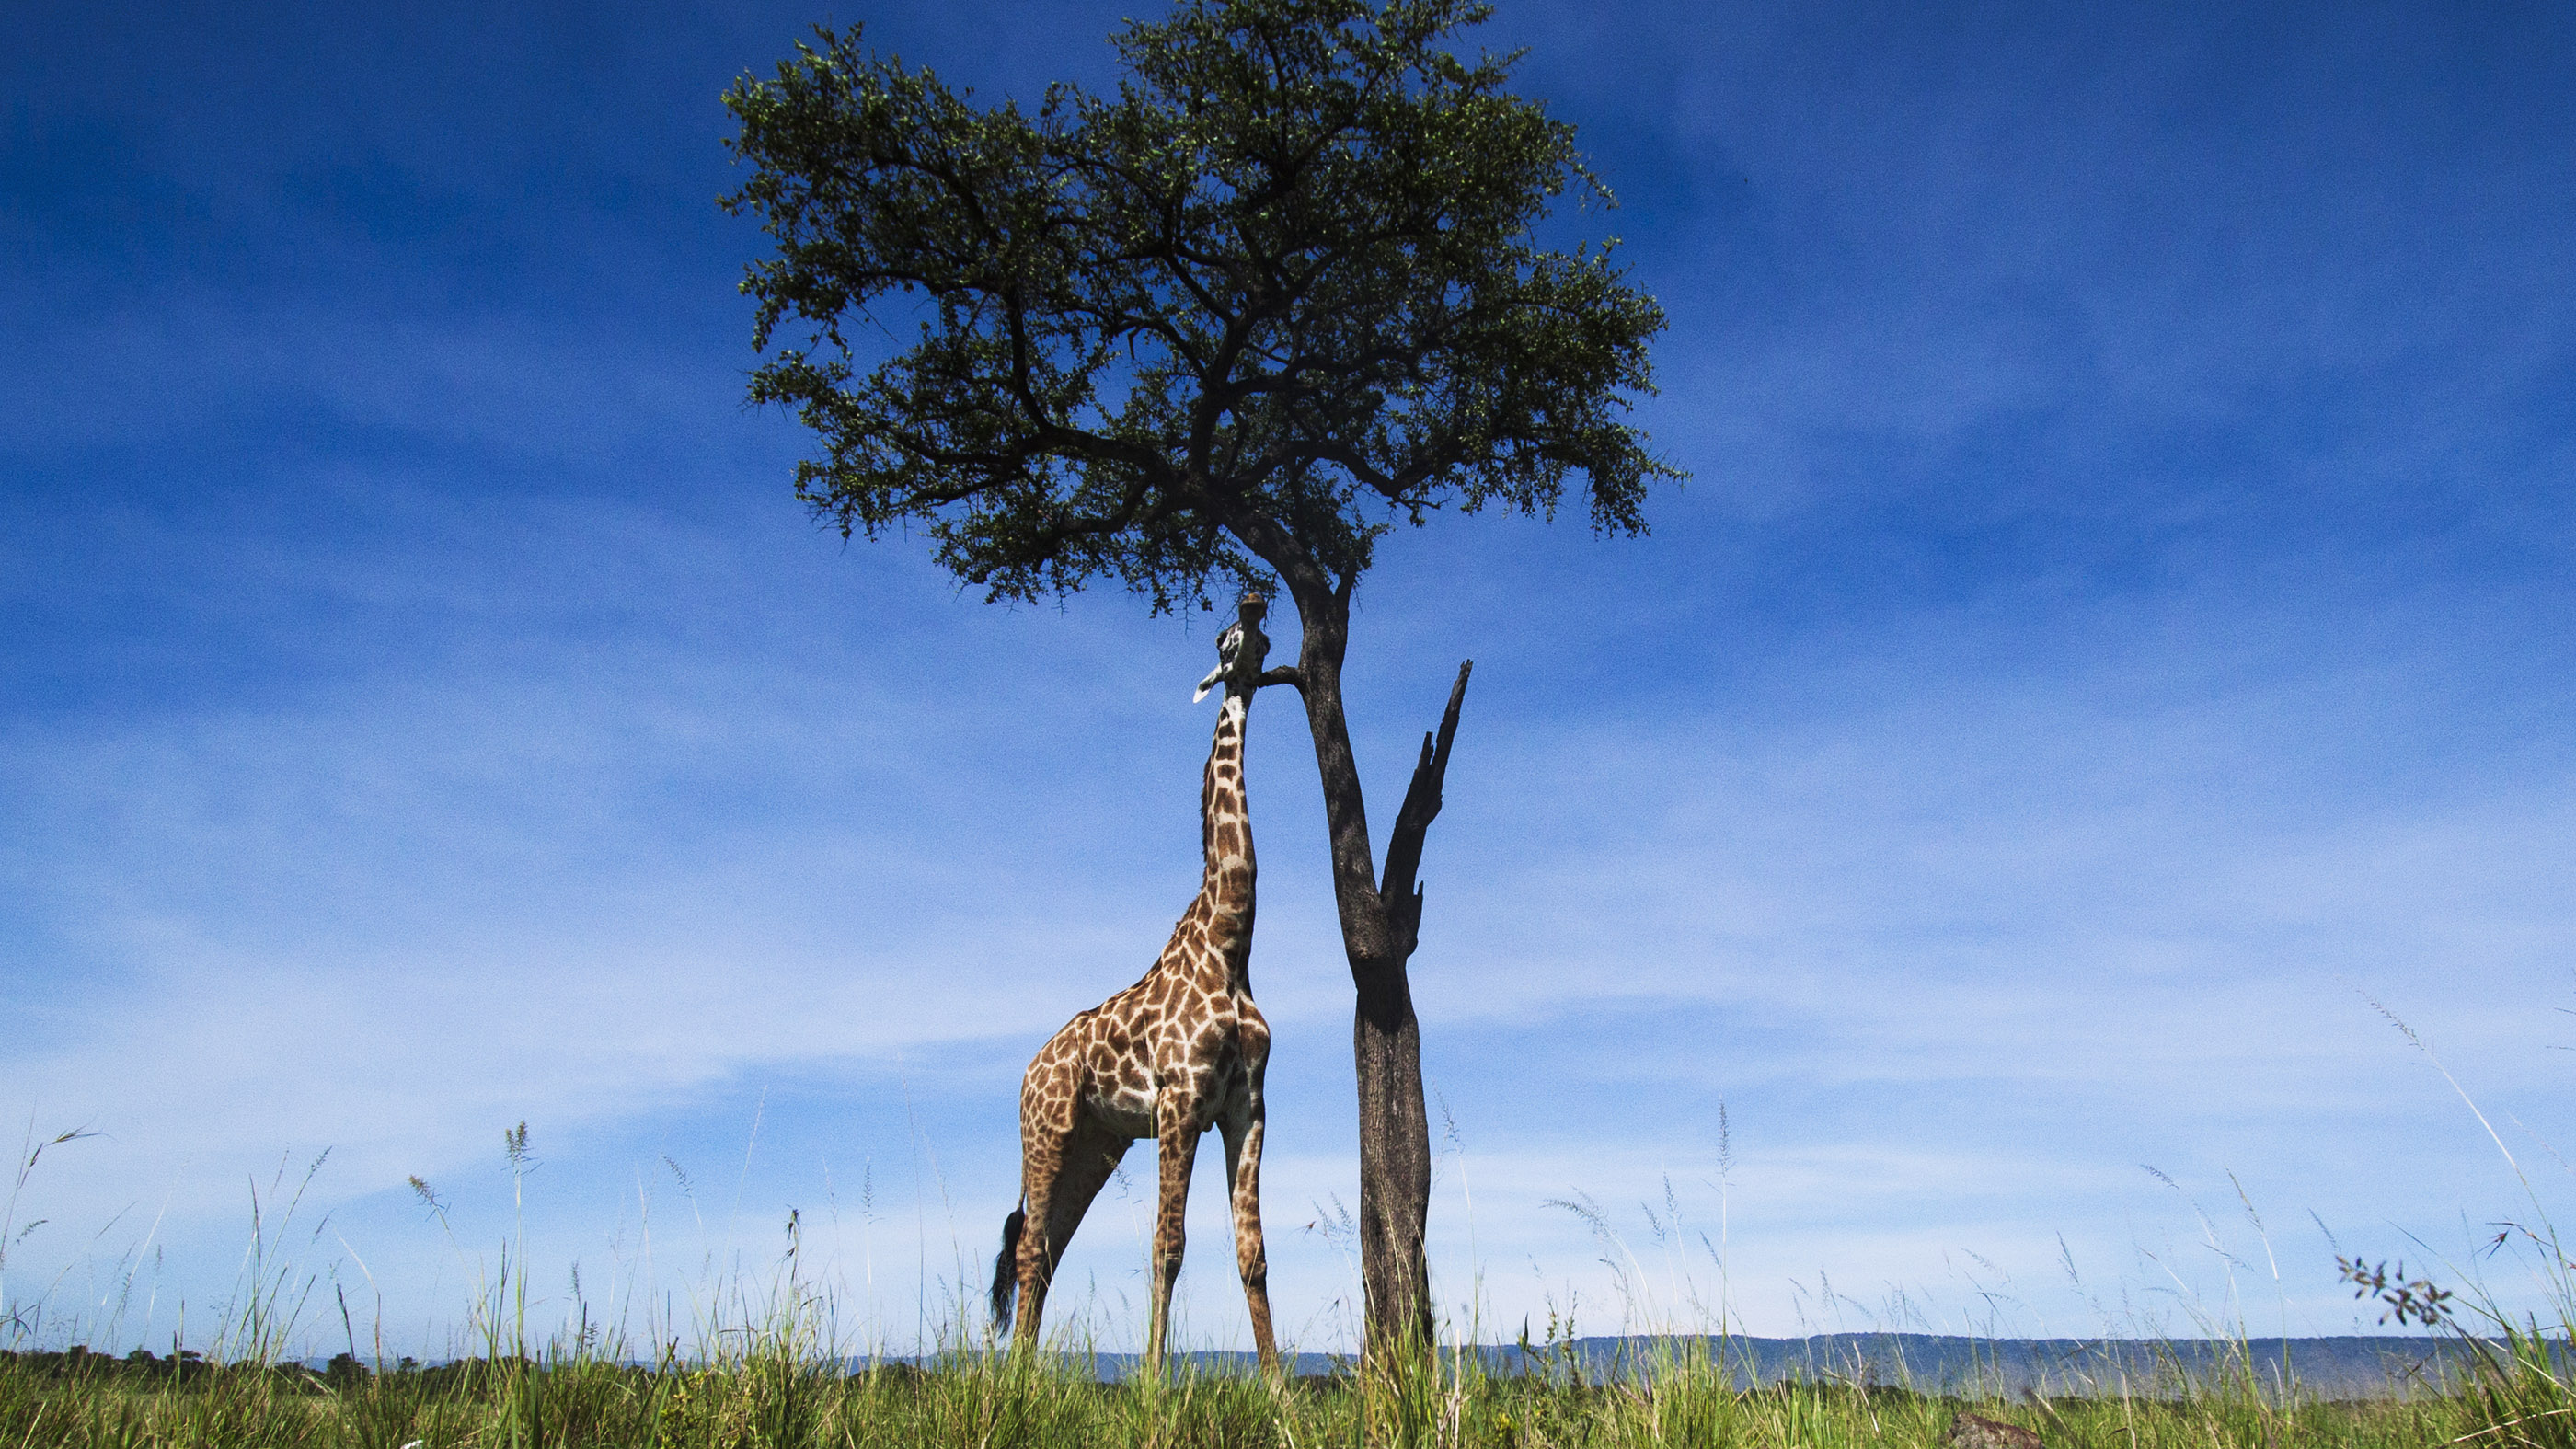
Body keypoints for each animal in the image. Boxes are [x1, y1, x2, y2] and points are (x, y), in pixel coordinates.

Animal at [994, 590, 1288, 1361]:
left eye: (1261, 635)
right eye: (1224, 636)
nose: (1254, 596)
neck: (1230, 942)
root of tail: (1028, 1073)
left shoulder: (1247, 1105)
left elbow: (1252, 1252)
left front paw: (1277, 1385)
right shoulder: (1181, 1100)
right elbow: (1168, 1247)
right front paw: (1155, 1381)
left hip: (1095, 1147)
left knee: (1047, 1251)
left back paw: (1024, 1376)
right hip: (1047, 1135)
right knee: (1030, 1249)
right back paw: (1006, 1378)